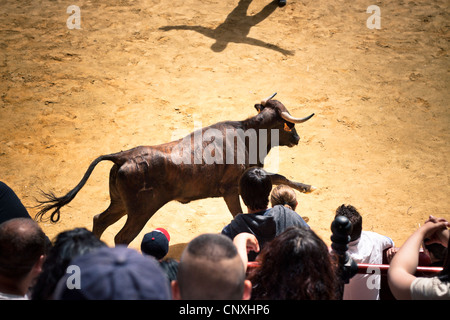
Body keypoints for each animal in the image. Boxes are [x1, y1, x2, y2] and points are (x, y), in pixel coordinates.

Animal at [37, 93, 314, 245]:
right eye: (289, 125)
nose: (298, 138)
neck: (247, 134)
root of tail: (122, 157)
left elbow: (279, 176)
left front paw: (306, 187)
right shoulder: (231, 189)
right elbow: (242, 211)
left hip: (119, 203)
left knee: (100, 220)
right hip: (141, 211)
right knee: (122, 237)